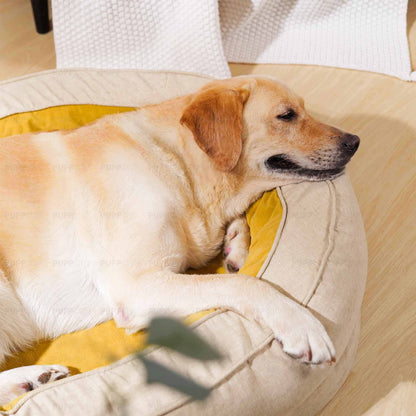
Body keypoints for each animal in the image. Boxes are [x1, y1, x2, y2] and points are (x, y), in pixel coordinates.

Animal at [0, 76, 360, 402]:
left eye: (304, 109)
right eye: (286, 116)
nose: (354, 141)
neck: (178, 163)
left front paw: (236, 245)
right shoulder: (136, 285)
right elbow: (244, 284)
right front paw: (299, 323)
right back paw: (30, 378)